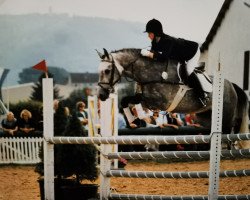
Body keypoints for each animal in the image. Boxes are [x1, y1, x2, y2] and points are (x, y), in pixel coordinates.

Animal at [96, 48, 250, 148]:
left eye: (107, 71)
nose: (101, 95)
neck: (151, 73)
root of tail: (231, 84)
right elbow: (125, 101)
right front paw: (134, 121)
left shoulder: (158, 102)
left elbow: (137, 103)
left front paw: (145, 119)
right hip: (203, 117)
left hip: (226, 115)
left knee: (232, 126)